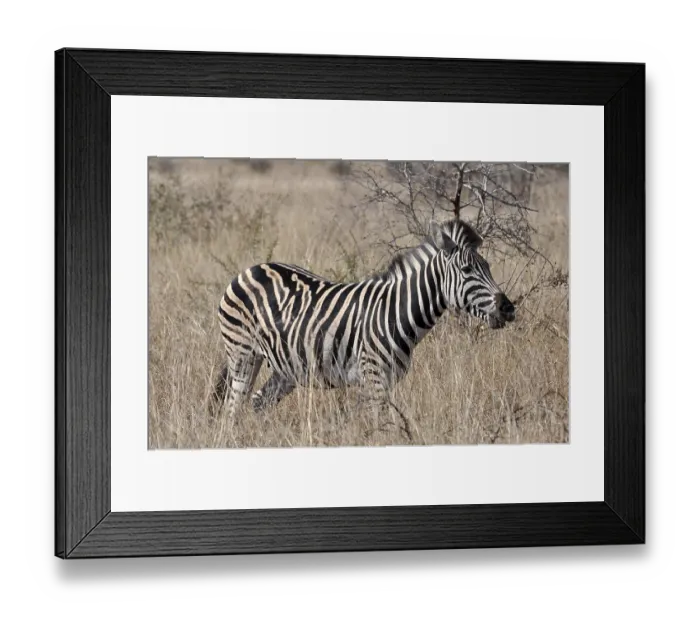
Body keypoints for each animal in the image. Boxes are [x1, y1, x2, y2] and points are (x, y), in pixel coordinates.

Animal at [212, 218, 515, 432]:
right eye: (467, 270)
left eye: (488, 267)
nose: (508, 308)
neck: (395, 312)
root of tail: (249, 269)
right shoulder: (374, 377)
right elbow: (381, 427)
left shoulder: (387, 380)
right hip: (243, 355)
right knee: (232, 408)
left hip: (286, 367)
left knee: (257, 402)